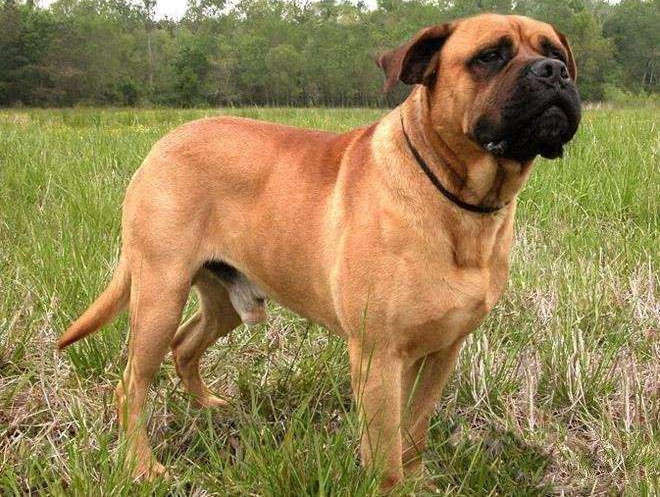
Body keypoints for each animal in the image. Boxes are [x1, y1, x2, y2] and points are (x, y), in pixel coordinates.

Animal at [59, 12, 580, 488]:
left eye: (555, 51)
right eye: (489, 56)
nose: (554, 72)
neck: (461, 202)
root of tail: (161, 143)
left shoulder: (441, 352)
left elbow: (413, 434)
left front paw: (418, 480)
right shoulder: (377, 356)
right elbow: (386, 454)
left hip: (222, 297)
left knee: (185, 345)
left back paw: (208, 407)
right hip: (160, 294)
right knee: (131, 387)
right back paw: (142, 466)